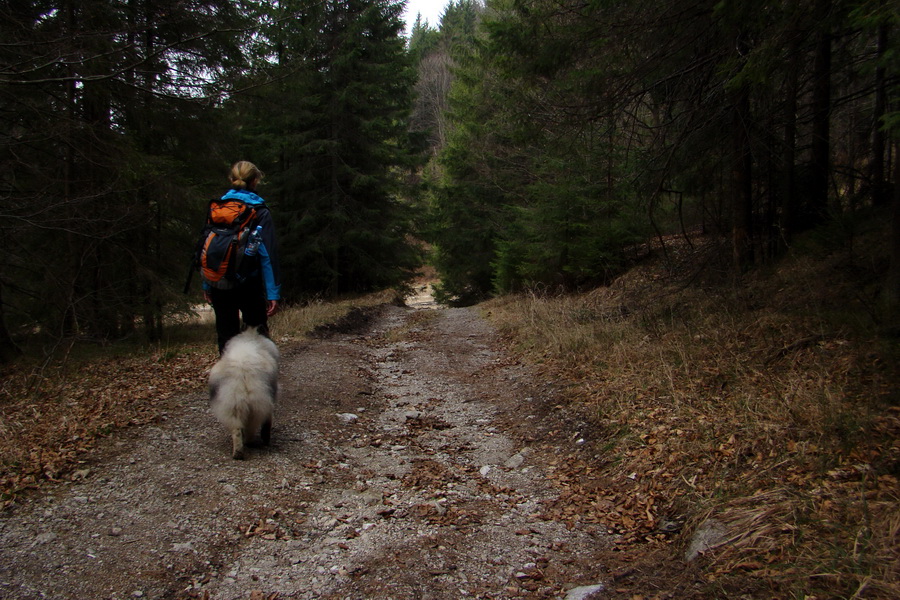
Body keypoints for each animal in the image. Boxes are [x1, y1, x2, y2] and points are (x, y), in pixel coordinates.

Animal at [209, 328, 280, 460]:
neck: (250, 336)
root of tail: (242, 369)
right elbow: (267, 422)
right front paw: (266, 438)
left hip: (233, 405)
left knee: (237, 430)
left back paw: (238, 452)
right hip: (256, 406)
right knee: (250, 428)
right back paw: (249, 443)